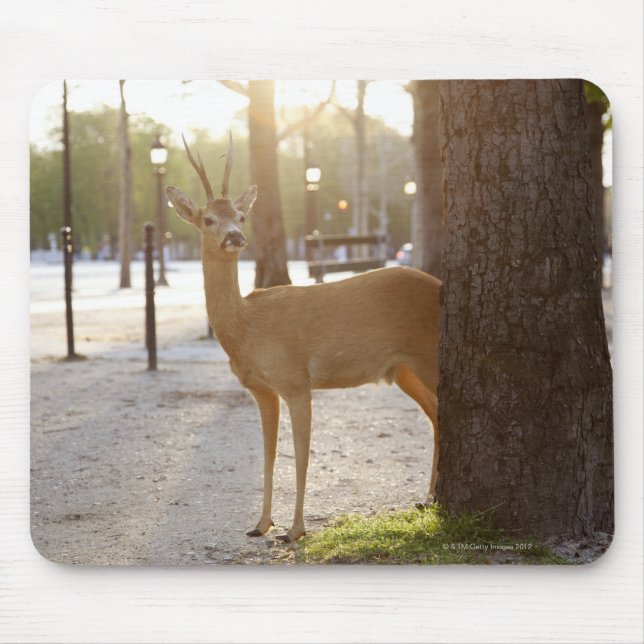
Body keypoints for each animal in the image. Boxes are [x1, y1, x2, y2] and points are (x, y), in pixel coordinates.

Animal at [165, 133, 441, 543]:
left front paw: (294, 530)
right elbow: (268, 451)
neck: (247, 329)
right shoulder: (262, 388)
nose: (235, 236)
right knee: (437, 414)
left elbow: (300, 452)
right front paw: (261, 524)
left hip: (430, 356)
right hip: (405, 369)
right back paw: (428, 499)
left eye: (241, 216)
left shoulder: (295, 379)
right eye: (208, 218)